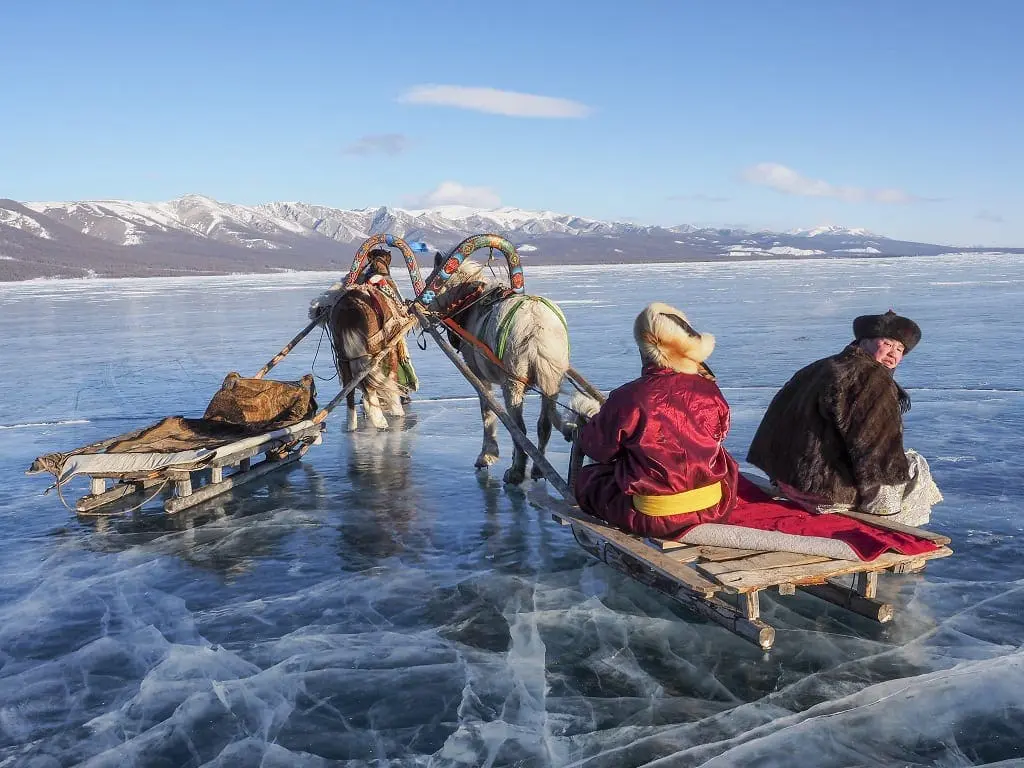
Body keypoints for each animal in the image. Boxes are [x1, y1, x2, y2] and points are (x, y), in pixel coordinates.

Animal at [423, 259, 569, 487]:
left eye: (431, 280)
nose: (421, 307)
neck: (470, 301)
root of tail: (536, 327)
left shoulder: (478, 374)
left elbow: (487, 411)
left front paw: (486, 456)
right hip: (551, 379)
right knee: (543, 425)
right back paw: (537, 469)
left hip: (513, 381)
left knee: (519, 429)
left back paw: (516, 472)